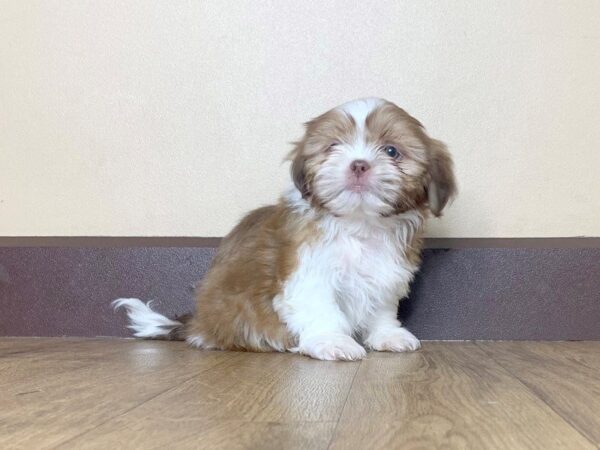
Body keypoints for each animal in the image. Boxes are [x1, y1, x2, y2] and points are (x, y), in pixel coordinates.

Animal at [115, 96, 458, 360]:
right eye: (333, 146)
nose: (359, 164)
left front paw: (388, 335)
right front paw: (332, 342)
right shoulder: (308, 272)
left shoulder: (386, 272)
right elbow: (322, 307)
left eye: (391, 151)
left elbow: (382, 307)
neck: (359, 224)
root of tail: (199, 322)